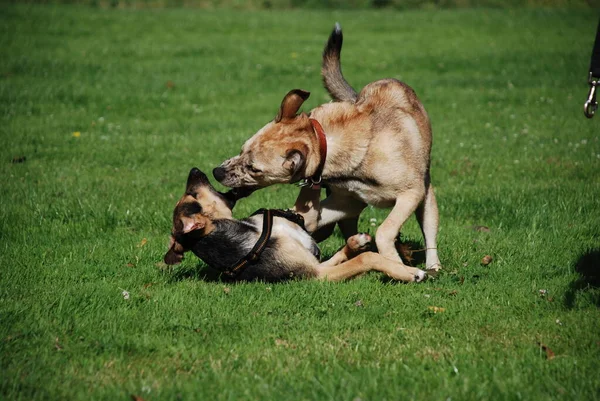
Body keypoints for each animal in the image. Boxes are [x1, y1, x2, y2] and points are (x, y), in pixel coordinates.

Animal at [164, 166, 426, 282]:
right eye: (192, 195)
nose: (194, 169)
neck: (252, 233)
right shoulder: (317, 275)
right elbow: (367, 259)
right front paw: (409, 272)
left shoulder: (312, 261)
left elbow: (345, 252)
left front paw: (356, 241)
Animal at [212, 23, 440, 274]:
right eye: (242, 149)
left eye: (254, 168)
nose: (216, 172)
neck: (327, 143)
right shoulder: (346, 201)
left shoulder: (411, 193)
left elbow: (385, 230)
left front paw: (396, 262)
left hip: (426, 198)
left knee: (428, 230)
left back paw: (433, 266)